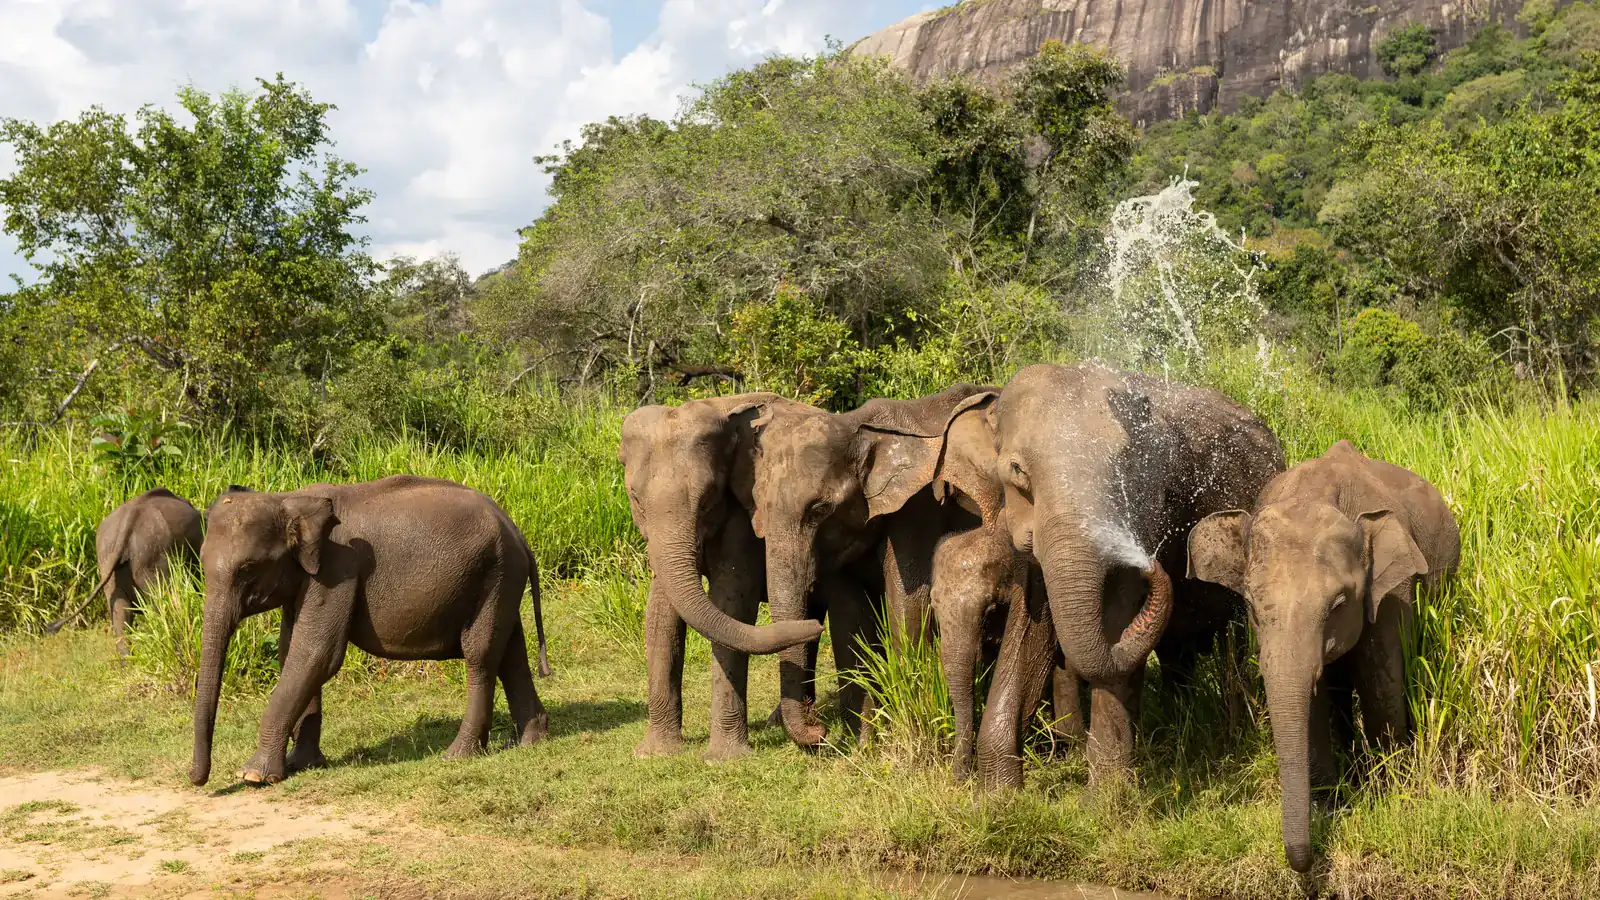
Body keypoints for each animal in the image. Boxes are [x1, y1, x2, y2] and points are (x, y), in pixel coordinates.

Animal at [188, 476, 551, 787]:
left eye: (247, 569)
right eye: (201, 563)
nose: (195, 779)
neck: (289, 499)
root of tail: (519, 534)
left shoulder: (338, 569)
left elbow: (317, 653)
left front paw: (253, 775)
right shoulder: (308, 579)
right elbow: (290, 650)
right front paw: (301, 764)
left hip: (495, 574)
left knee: (480, 654)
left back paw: (458, 755)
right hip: (501, 579)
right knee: (511, 653)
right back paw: (533, 741)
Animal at [619, 394, 826, 760]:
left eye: (708, 498)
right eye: (635, 498)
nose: (813, 627)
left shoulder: (744, 514)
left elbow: (732, 603)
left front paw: (724, 759)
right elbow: (660, 615)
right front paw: (655, 754)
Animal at [976, 362, 1284, 788]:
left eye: (1125, 471)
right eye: (1018, 471)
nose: (1153, 562)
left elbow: (1118, 614)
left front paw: (1105, 796)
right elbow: (1028, 627)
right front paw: (998, 792)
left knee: (1234, 645)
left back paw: (1232, 731)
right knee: (1177, 653)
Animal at [1187, 440, 1459, 872]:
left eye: (1339, 604)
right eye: (1250, 604)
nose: (1304, 862)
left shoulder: (1392, 591)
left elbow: (1380, 682)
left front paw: (1387, 795)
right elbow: (1312, 700)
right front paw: (1331, 805)